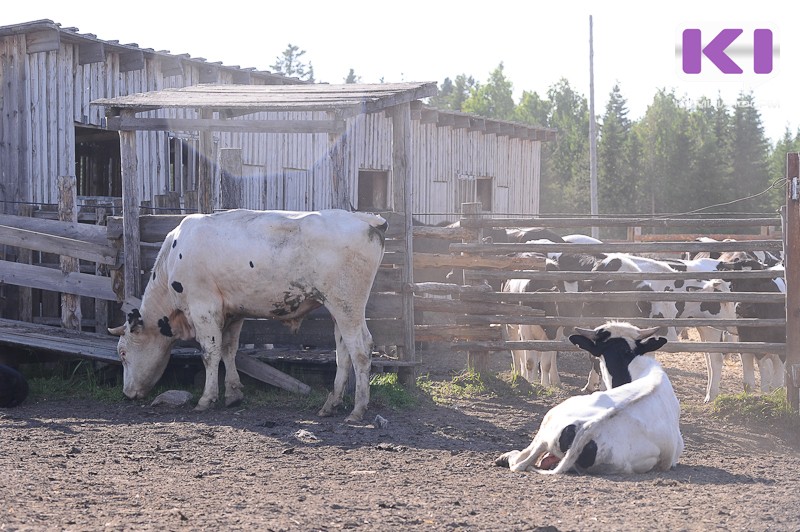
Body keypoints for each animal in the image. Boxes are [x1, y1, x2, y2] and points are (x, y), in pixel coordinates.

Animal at [109, 210, 388, 422]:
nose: (127, 393)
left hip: (347, 306)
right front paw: (233, 394)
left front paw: (206, 398)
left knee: (361, 349)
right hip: (338, 309)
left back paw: (357, 410)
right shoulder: (232, 312)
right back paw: (331, 405)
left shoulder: (203, 307)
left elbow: (210, 354)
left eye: (123, 353)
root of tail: (364, 219)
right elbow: (228, 349)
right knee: (344, 354)